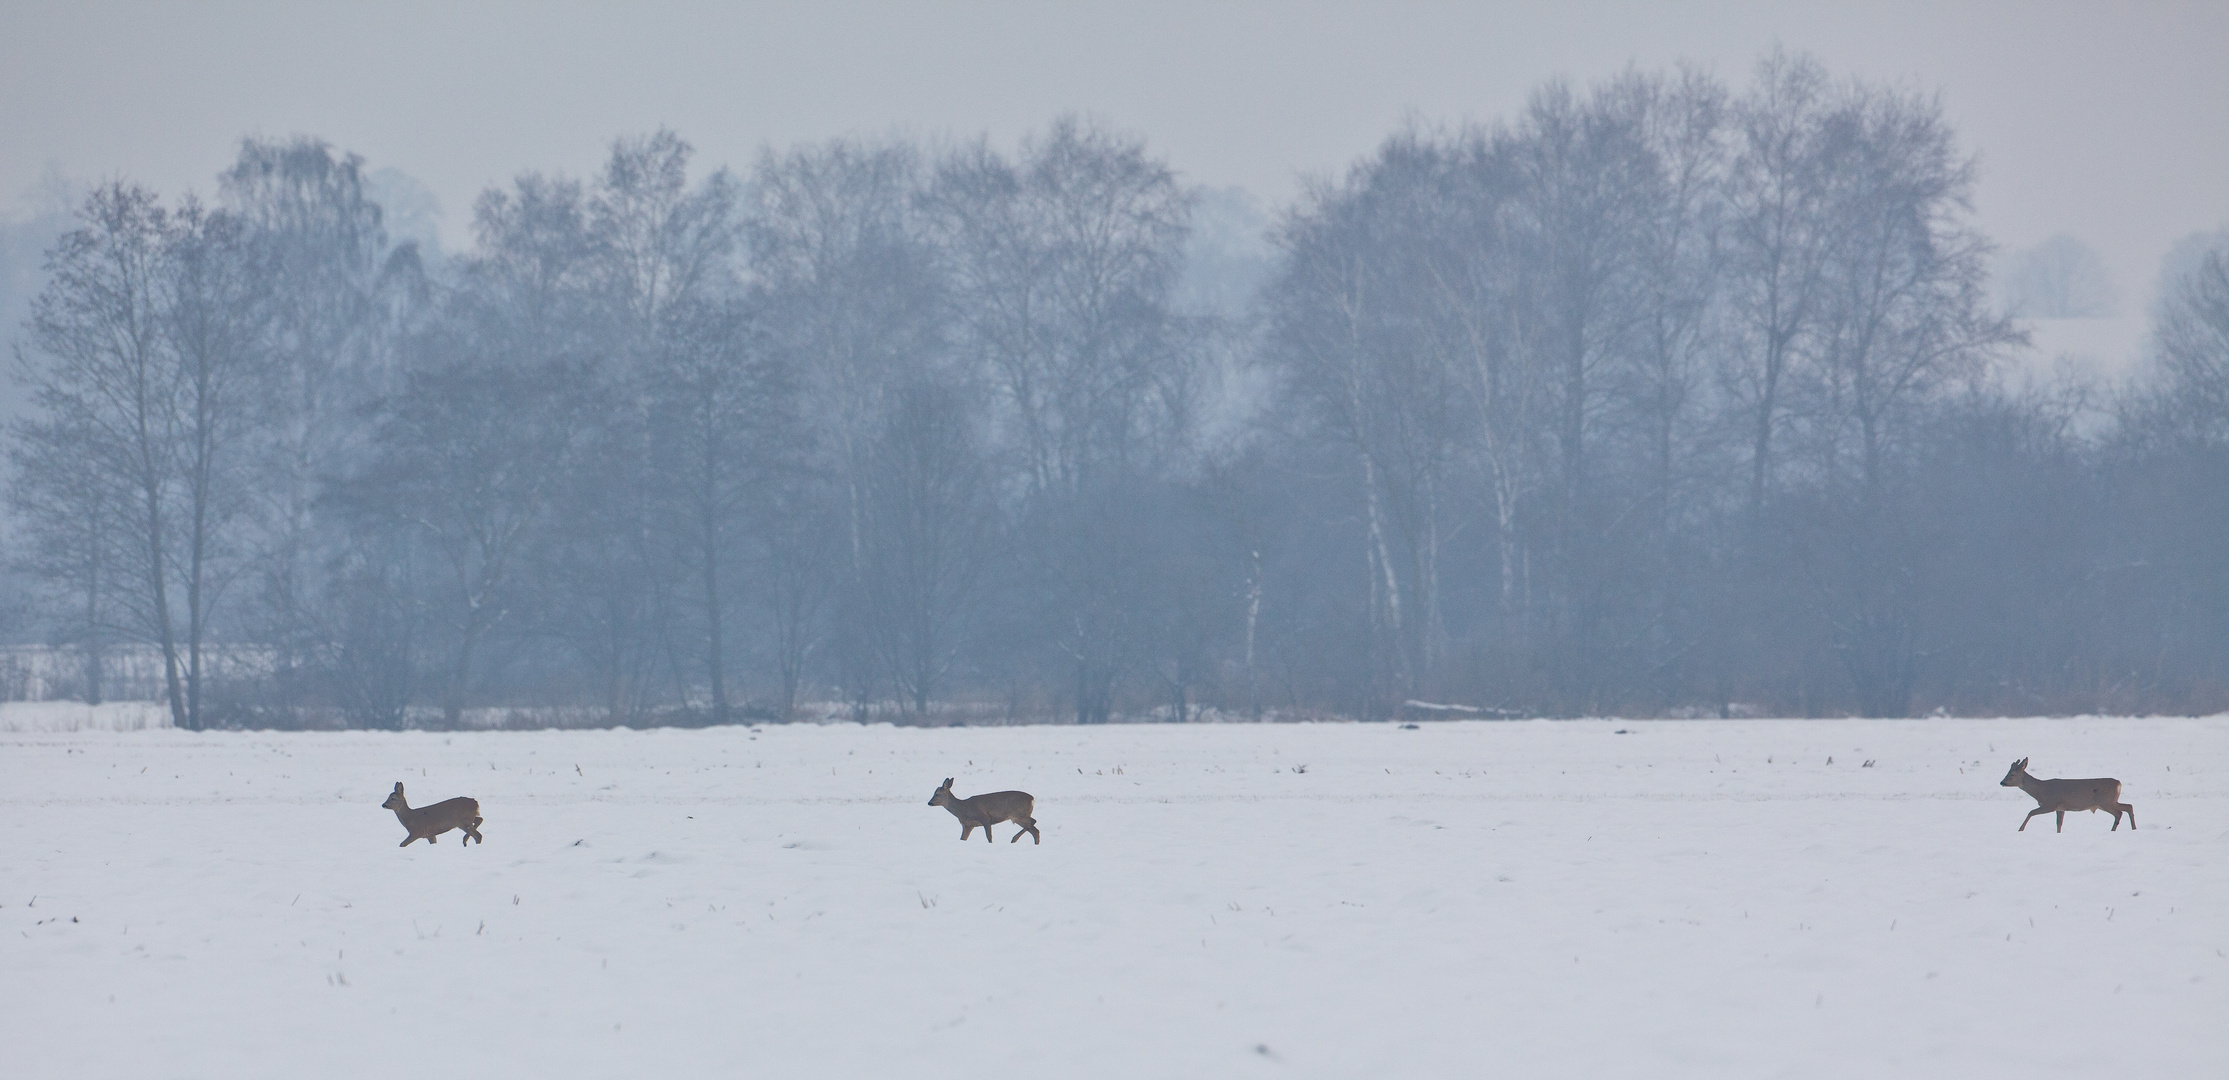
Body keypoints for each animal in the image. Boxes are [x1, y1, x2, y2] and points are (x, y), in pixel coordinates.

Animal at [1997, 757, 2130, 832]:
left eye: (2012, 774)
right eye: (2007, 772)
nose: (2002, 782)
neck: (2040, 791)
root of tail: (2118, 783)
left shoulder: (2050, 804)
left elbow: (2031, 812)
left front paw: (2020, 829)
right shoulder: (2060, 808)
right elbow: (2059, 824)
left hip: (2105, 801)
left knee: (2119, 813)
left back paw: (2113, 830)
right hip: (2111, 801)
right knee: (2128, 806)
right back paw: (2132, 828)